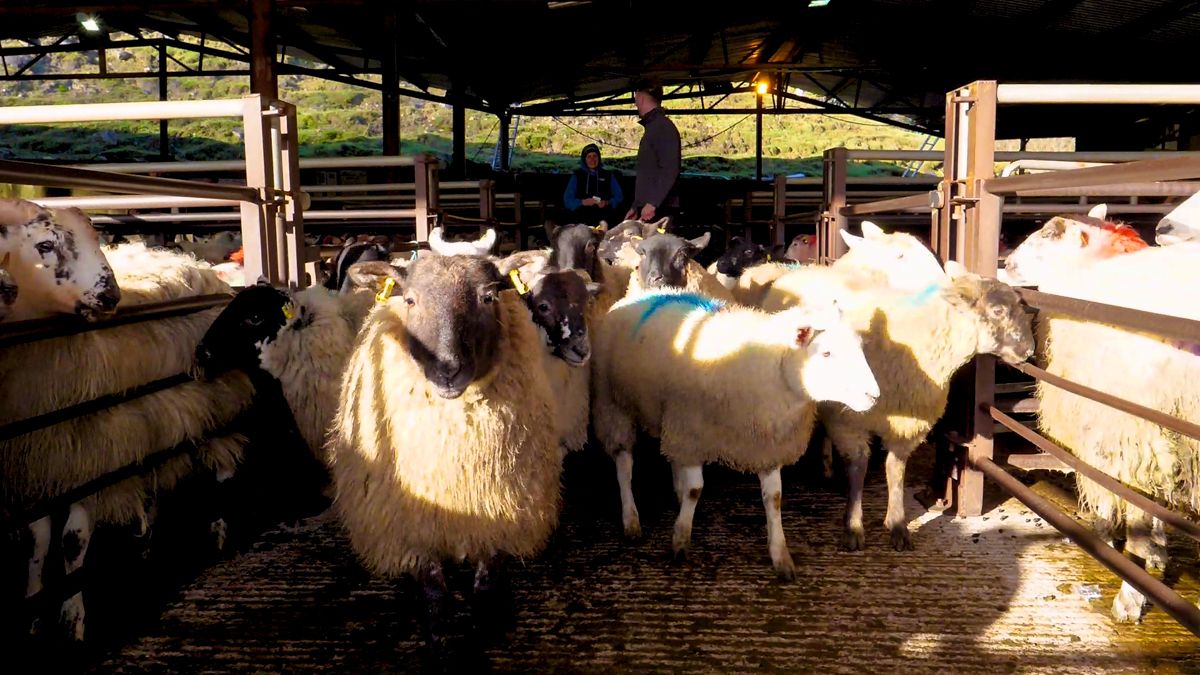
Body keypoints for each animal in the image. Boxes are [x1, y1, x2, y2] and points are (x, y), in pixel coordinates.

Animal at [326, 253, 561, 644]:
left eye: (488, 297)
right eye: (409, 300)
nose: (448, 370)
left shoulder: (498, 507)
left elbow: (486, 578)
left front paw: (485, 624)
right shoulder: (413, 520)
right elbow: (434, 586)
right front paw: (438, 633)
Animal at [591, 288, 880, 577]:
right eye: (827, 353)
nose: (874, 395)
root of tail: (648, 293)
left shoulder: (765, 443)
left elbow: (774, 498)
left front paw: (780, 555)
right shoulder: (694, 431)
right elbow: (695, 489)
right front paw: (681, 539)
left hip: (670, 418)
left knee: (672, 455)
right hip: (615, 405)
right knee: (624, 466)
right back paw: (631, 518)